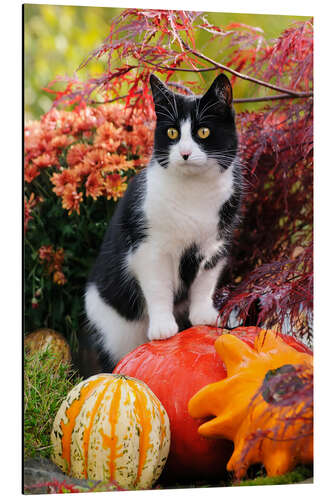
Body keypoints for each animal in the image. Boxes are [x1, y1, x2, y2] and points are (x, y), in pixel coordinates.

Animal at [83, 73, 241, 372]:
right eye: (172, 133)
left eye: (204, 132)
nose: (185, 153)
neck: (194, 192)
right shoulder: (149, 249)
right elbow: (158, 287)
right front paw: (163, 328)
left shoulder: (217, 243)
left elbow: (205, 281)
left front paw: (203, 314)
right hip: (113, 328)